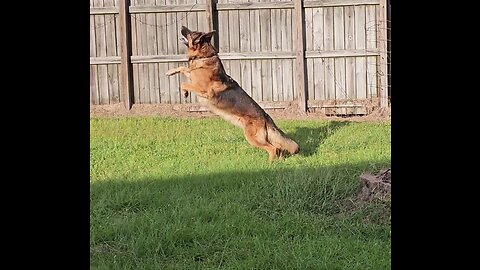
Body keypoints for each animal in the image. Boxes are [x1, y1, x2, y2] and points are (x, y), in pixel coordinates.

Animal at [167, 26, 298, 162]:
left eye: (191, 33)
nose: (182, 26)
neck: (204, 56)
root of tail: (266, 117)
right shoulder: (193, 76)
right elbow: (183, 68)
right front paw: (170, 72)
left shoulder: (202, 89)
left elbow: (183, 83)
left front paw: (184, 92)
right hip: (262, 137)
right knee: (278, 146)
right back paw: (280, 161)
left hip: (252, 138)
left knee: (272, 148)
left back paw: (270, 163)